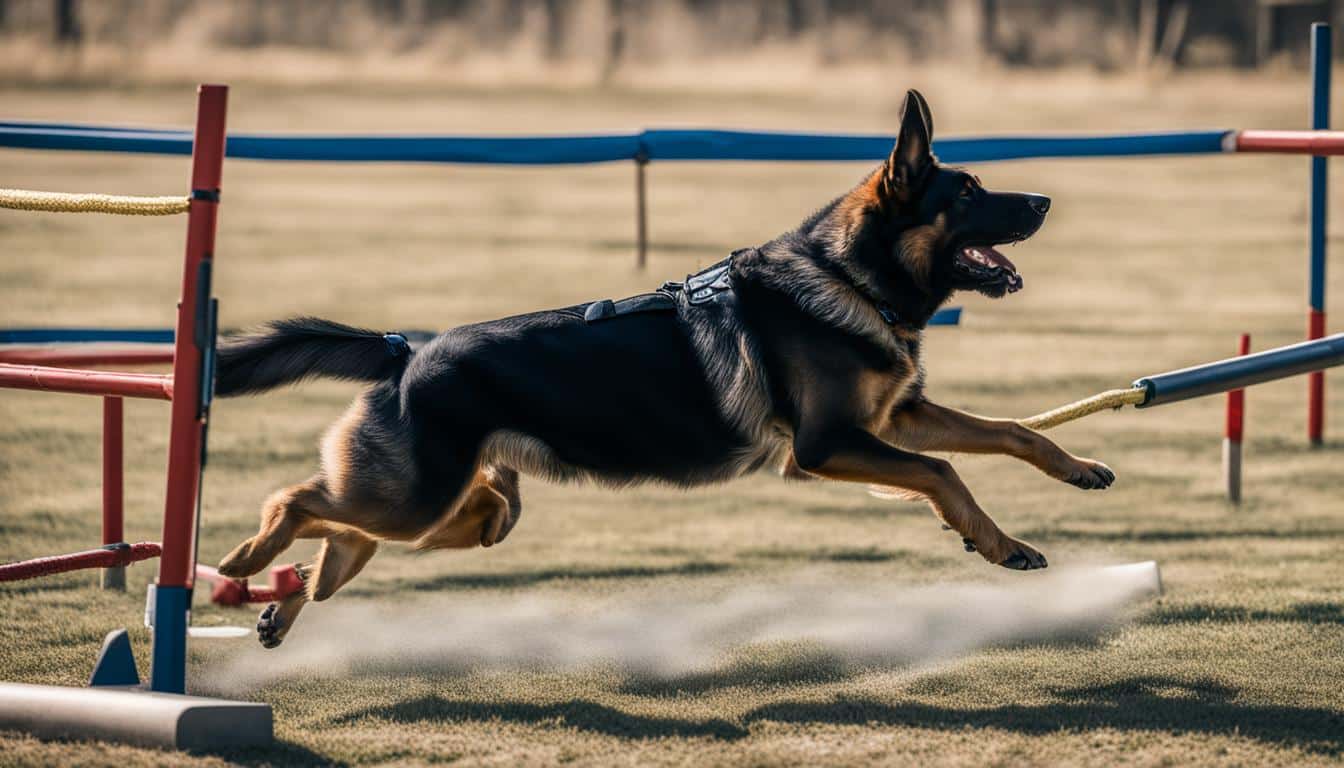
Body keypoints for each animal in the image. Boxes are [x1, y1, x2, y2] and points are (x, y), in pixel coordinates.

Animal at [212, 90, 1112, 648]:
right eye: (967, 196)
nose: (1044, 203)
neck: (849, 278)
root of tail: (406, 350)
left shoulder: (892, 420)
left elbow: (1008, 431)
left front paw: (1075, 471)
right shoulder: (827, 446)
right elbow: (945, 471)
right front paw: (999, 543)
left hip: (462, 513)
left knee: (343, 536)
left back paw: (287, 602)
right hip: (420, 501)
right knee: (295, 500)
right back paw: (248, 564)